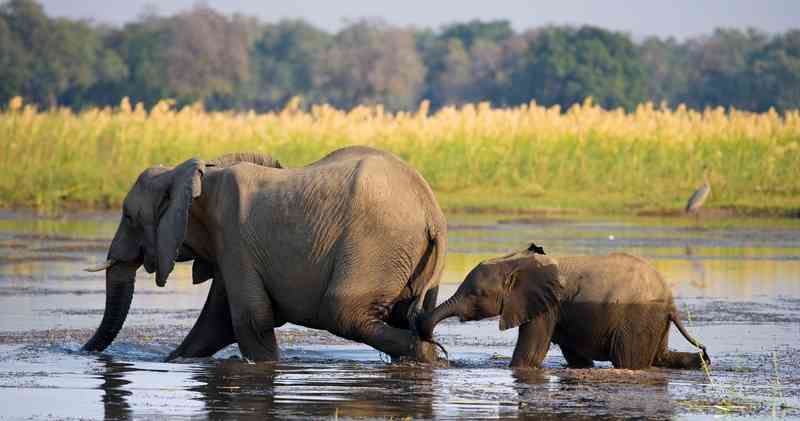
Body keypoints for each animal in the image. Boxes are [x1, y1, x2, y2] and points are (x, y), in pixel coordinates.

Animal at [82, 146, 448, 363]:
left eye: (129, 216)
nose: (82, 352)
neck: (191, 174)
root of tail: (431, 210)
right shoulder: (227, 246)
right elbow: (216, 323)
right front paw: (174, 360)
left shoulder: (234, 236)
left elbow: (250, 318)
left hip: (375, 245)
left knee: (342, 312)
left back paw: (422, 353)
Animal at [418, 243, 710, 370]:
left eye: (476, 294)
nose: (445, 358)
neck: (515, 262)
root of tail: (671, 301)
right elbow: (577, 358)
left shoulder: (545, 308)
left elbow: (529, 356)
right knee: (662, 358)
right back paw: (700, 362)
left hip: (637, 318)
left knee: (629, 360)